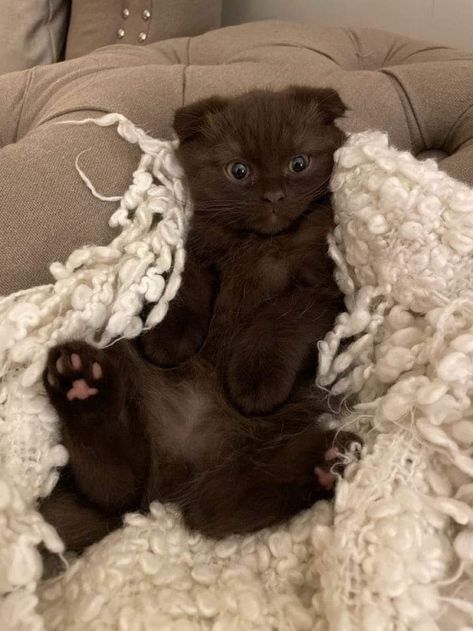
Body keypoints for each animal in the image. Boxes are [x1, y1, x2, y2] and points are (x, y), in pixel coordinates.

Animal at [40, 86, 358, 552]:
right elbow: (185, 291)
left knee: (222, 507)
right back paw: (81, 385)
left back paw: (326, 462)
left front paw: (253, 380)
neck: (261, 243)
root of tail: (174, 476)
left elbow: (279, 317)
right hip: (125, 369)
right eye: (238, 170)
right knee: (117, 488)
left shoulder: (323, 290)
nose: (274, 195)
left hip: (250, 460)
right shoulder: (200, 255)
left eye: (299, 163)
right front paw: (169, 341)